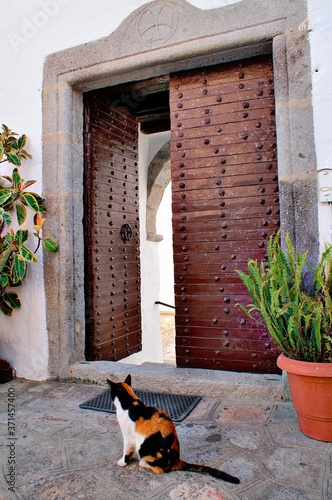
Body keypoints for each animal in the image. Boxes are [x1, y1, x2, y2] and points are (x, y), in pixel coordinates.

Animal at [107, 376, 240, 484]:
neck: (130, 402)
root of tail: (176, 461)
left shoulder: (128, 437)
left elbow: (127, 451)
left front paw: (123, 462)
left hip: (143, 447)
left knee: (159, 470)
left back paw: (143, 463)